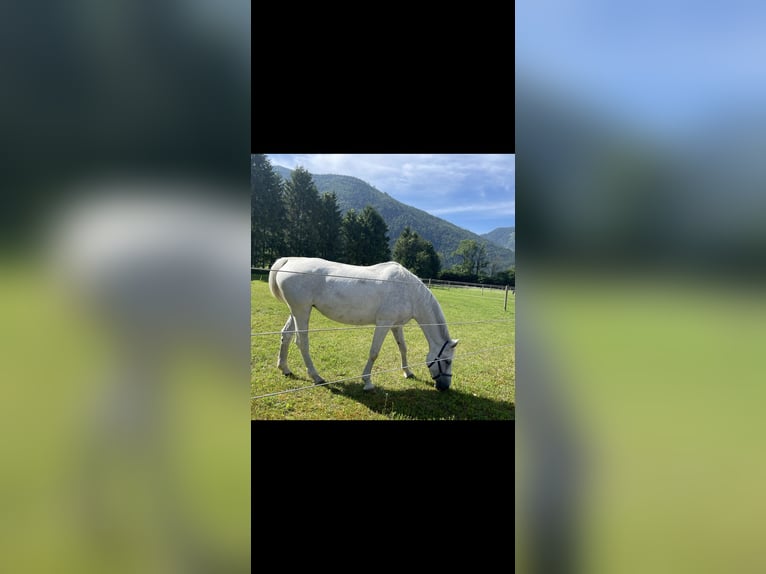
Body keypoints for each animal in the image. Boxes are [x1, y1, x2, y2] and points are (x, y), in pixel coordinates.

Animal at [270, 258, 462, 394]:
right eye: (447, 361)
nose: (444, 387)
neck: (408, 290)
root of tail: (289, 261)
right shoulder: (384, 323)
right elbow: (374, 352)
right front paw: (367, 382)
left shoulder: (396, 325)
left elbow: (403, 348)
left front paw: (407, 372)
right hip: (302, 311)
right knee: (302, 343)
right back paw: (317, 377)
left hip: (296, 311)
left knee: (286, 335)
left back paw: (285, 369)